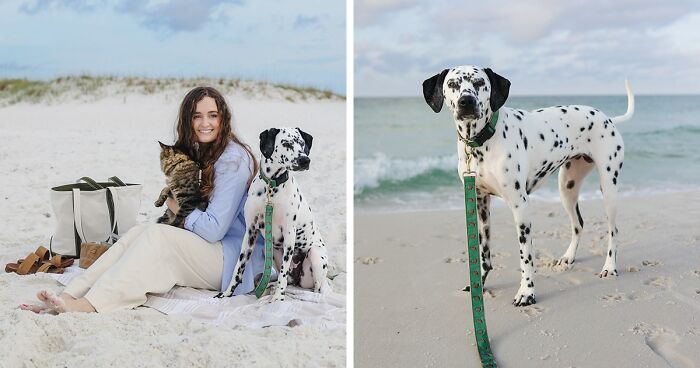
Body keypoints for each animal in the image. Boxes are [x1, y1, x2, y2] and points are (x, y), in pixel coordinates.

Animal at [216, 126, 330, 302]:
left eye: (301, 143)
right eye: (286, 143)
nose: (305, 160)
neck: (271, 187)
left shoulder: (289, 234)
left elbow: (283, 272)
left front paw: (278, 298)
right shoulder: (250, 231)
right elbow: (238, 268)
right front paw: (227, 293)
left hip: (316, 256)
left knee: (316, 287)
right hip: (272, 252)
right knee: (289, 280)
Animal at [422, 67, 636, 308]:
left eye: (479, 83)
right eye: (452, 84)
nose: (466, 101)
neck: (484, 142)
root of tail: (608, 119)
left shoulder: (520, 207)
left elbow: (526, 258)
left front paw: (527, 292)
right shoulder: (480, 204)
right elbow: (484, 254)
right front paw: (480, 284)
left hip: (608, 189)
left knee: (613, 231)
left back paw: (609, 267)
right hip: (567, 187)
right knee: (578, 224)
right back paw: (569, 256)